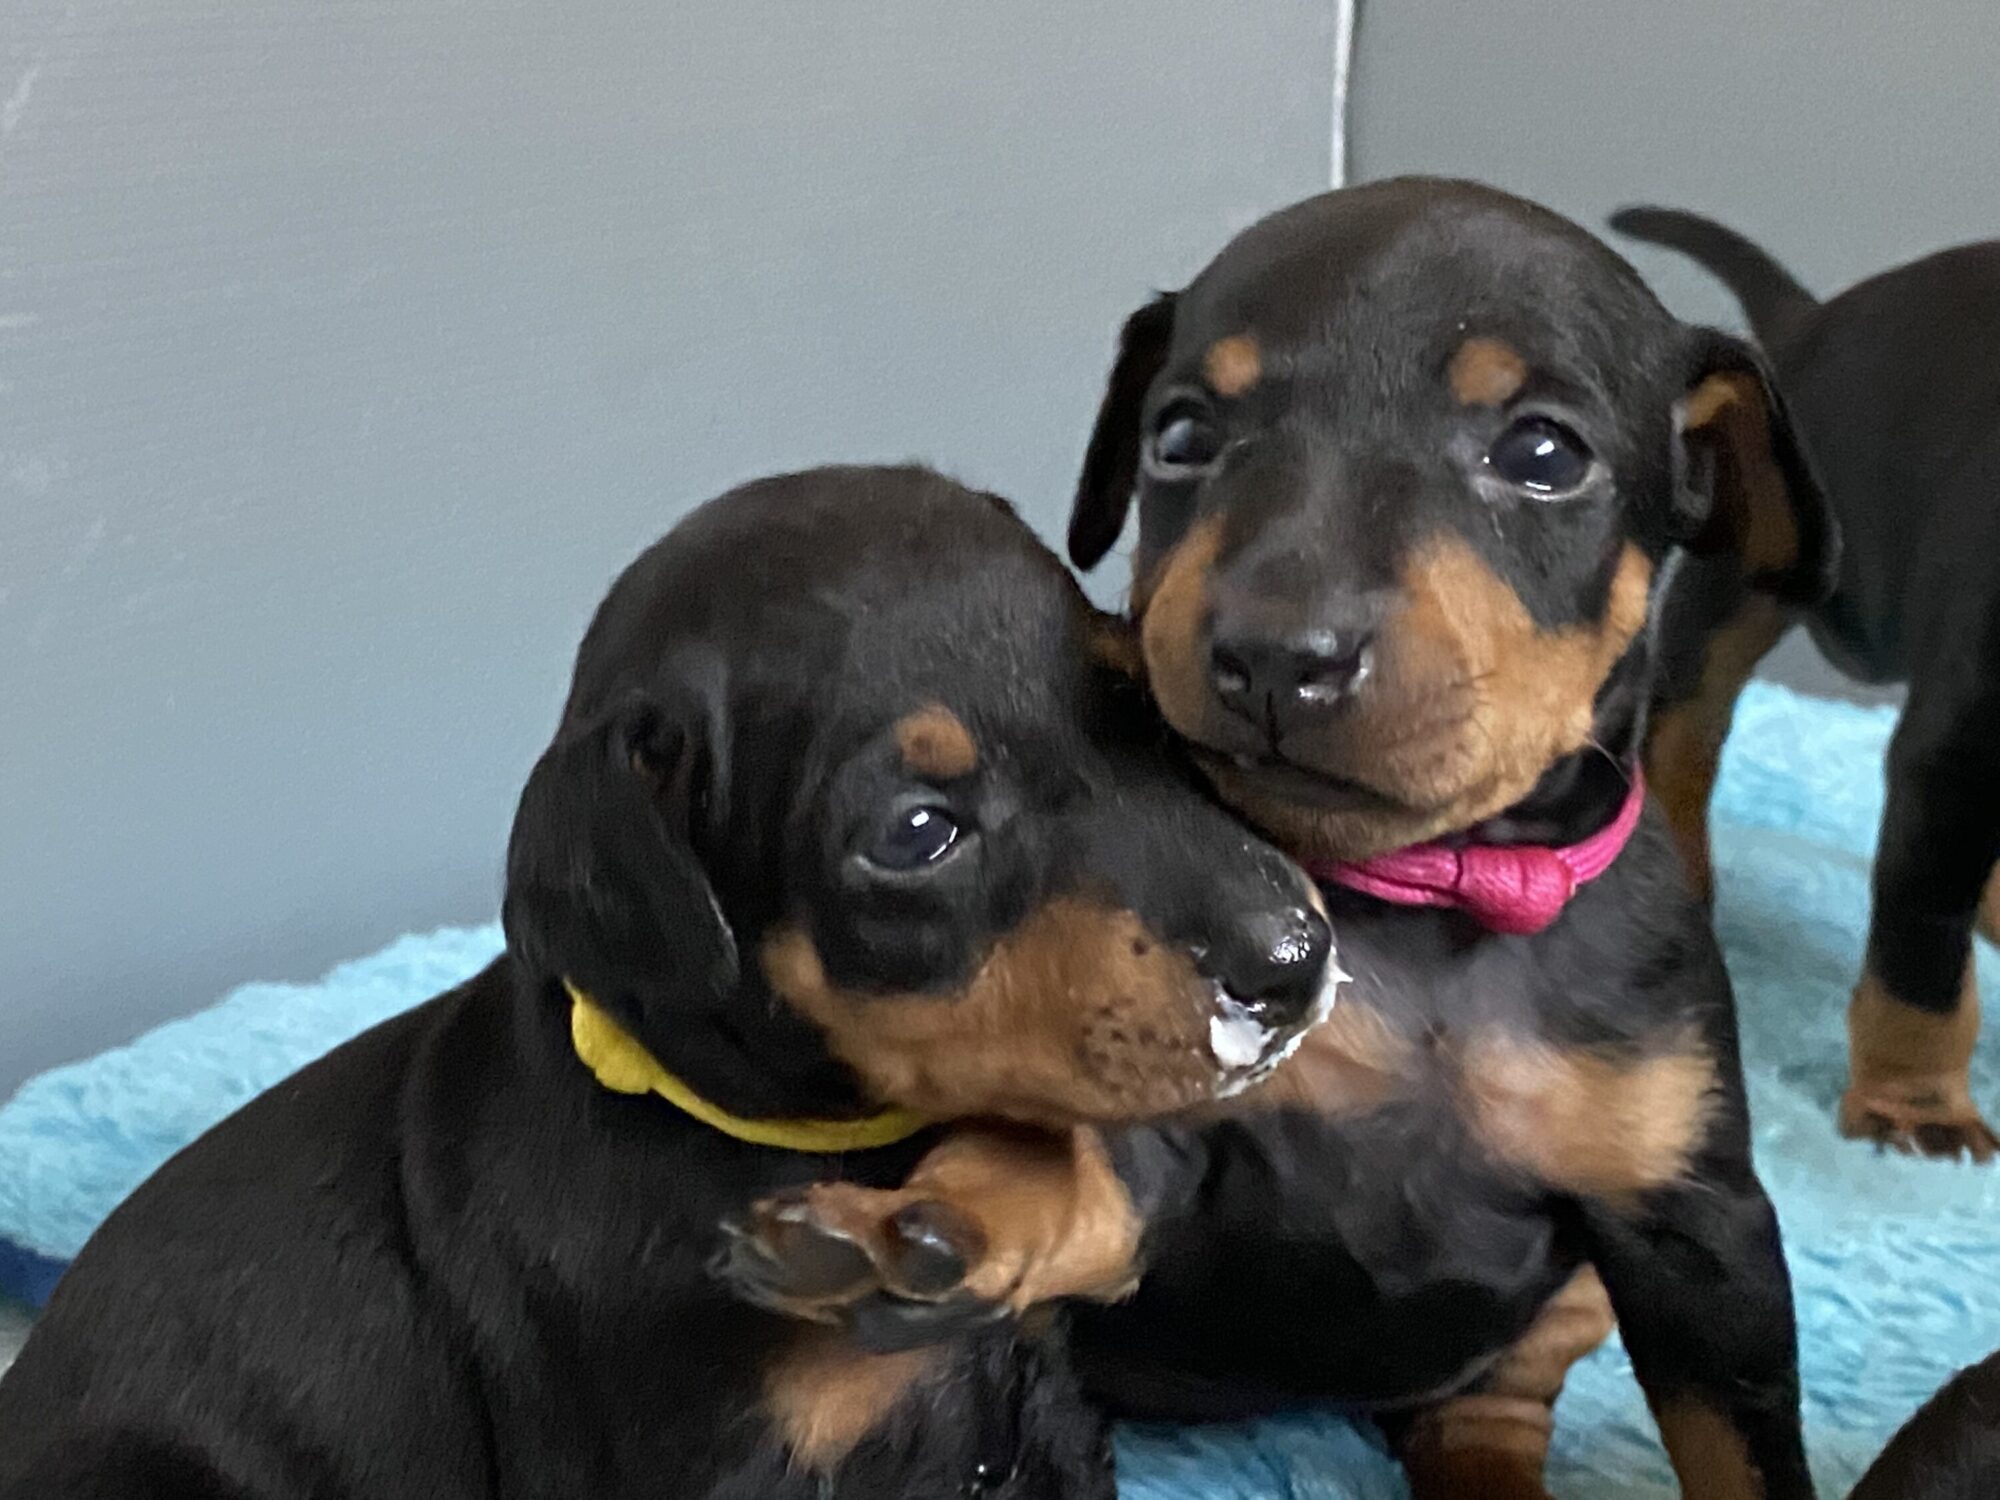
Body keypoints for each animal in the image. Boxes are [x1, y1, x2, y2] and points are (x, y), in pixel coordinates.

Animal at [725, 181, 1830, 1499]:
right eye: (1181, 436)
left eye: (1543, 455)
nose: (1273, 655)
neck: (1427, 900)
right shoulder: (1184, 1094)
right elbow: (1067, 1168)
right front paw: (934, 1223)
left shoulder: (1694, 1231)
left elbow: (1743, 1451)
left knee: (1493, 1402)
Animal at [1613, 206, 2000, 1162]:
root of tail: (1812, 319)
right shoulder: (1954, 758)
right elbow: (1922, 958)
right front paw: (1918, 1109)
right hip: (1755, 566)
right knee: (1686, 728)